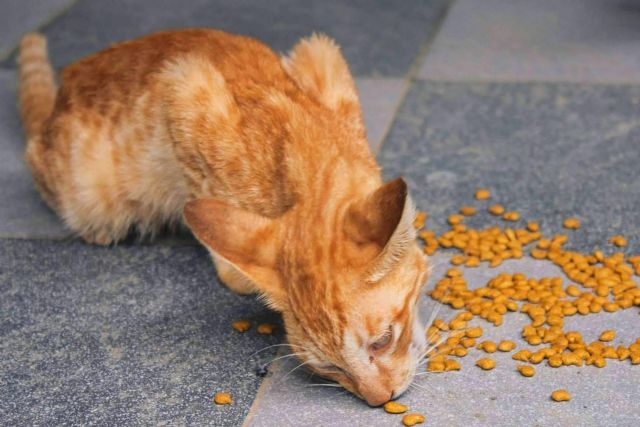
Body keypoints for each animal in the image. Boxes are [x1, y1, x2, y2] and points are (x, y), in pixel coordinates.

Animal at [18, 29, 430, 404]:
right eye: (330, 367)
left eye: (383, 340)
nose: (381, 399)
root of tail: (67, 82)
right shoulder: (181, 90)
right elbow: (209, 211)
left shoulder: (320, 51)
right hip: (84, 192)